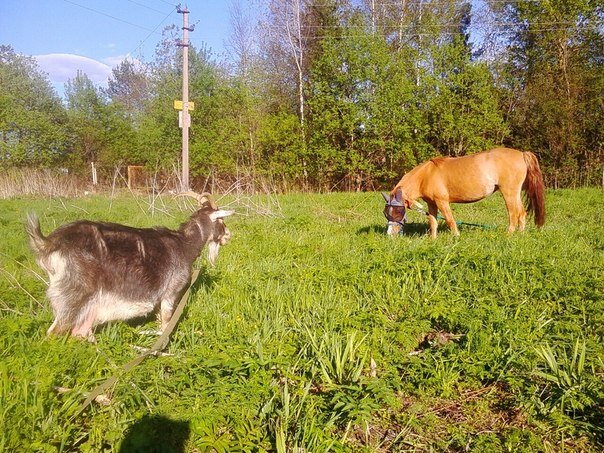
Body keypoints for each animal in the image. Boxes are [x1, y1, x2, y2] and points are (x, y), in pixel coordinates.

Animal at [24, 191, 231, 340]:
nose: (229, 236)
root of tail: (48, 244)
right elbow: (166, 324)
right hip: (71, 294)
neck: (185, 244)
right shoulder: (170, 293)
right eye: (221, 220)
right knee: (54, 332)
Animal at [384, 147, 544, 237]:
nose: (390, 235)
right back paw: (520, 234)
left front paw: (456, 237)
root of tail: (522, 154)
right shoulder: (432, 204)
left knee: (513, 214)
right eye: (386, 214)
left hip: (508, 193)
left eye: (398, 211)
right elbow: (433, 222)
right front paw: (433, 239)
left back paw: (508, 235)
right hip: (515, 193)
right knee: (522, 213)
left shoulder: (442, 202)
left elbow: (450, 220)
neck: (426, 175)